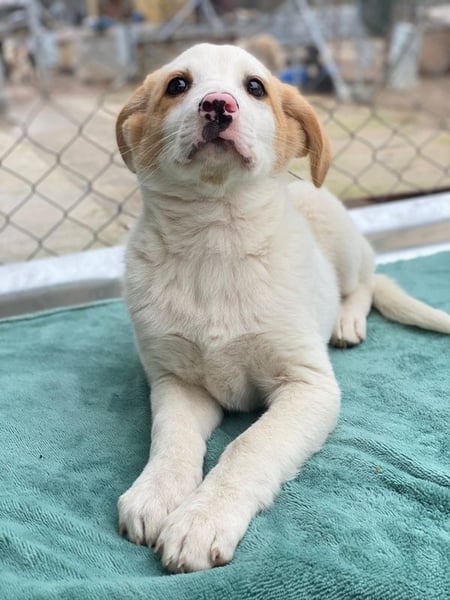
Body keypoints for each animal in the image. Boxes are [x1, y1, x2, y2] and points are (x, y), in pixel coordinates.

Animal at [115, 43, 450, 573]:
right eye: (177, 85)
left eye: (255, 87)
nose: (218, 106)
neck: (216, 240)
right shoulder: (177, 382)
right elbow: (171, 439)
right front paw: (156, 493)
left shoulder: (308, 387)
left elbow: (249, 446)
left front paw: (201, 519)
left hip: (346, 247)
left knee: (369, 281)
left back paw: (347, 320)